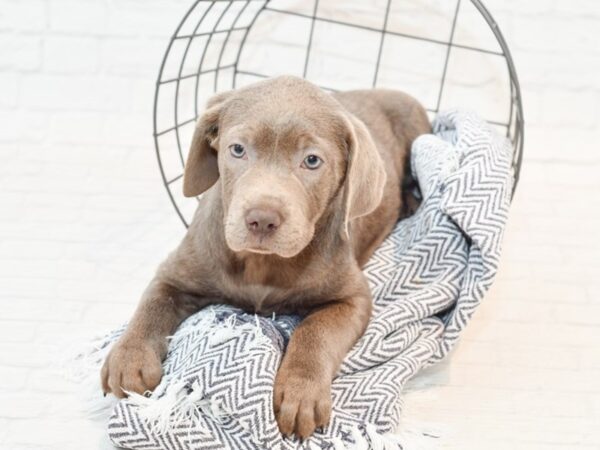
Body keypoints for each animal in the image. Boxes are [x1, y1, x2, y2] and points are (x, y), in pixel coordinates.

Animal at [101, 75, 428, 438]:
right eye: (237, 149)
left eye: (312, 161)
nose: (261, 218)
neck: (261, 263)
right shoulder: (176, 272)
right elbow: (152, 303)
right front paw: (130, 358)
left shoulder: (352, 298)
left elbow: (316, 331)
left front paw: (301, 393)